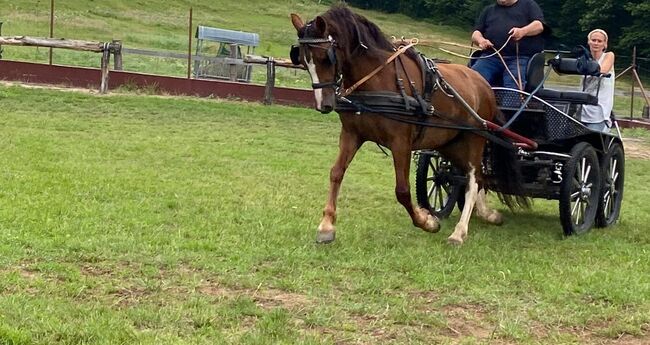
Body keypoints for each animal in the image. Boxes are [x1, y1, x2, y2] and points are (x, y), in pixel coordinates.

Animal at [288, 4, 516, 243]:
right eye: (302, 60)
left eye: (326, 57)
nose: (323, 104)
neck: (379, 79)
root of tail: (484, 84)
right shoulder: (352, 134)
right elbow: (336, 173)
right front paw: (326, 226)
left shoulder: (401, 142)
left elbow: (403, 190)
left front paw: (427, 221)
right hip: (450, 143)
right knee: (475, 177)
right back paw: (487, 214)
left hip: (475, 138)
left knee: (473, 179)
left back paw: (459, 231)